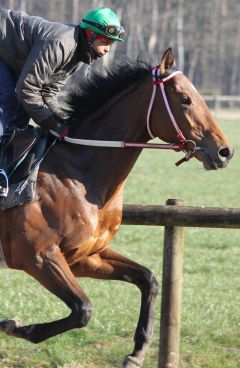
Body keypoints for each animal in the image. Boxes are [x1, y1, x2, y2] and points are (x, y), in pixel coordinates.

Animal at [0, 49, 233, 368]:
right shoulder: (37, 256)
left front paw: (136, 353)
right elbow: (83, 309)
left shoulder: (83, 256)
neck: (77, 172)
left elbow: (149, 279)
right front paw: (12, 325)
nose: (224, 152)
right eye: (185, 98)